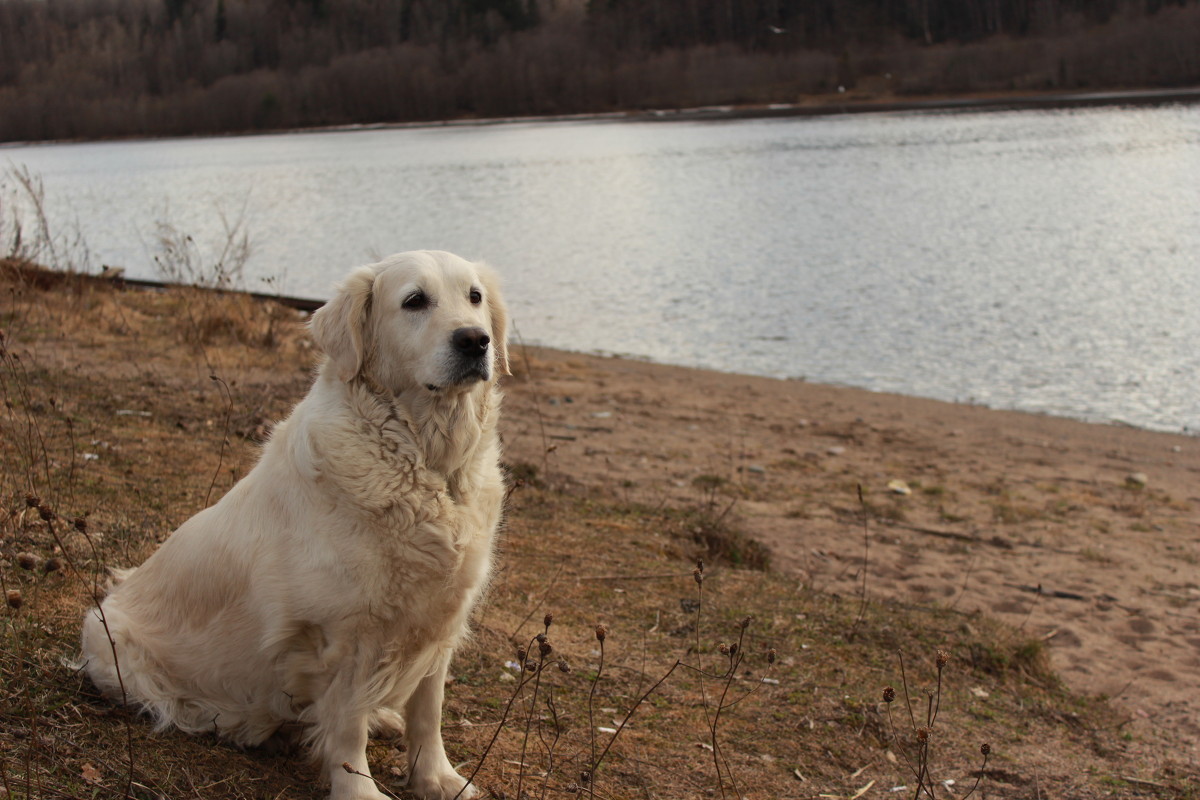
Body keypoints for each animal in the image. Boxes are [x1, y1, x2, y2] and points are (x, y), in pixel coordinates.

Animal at [78, 251, 511, 800]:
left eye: (474, 297)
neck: (430, 463)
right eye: (415, 300)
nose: (476, 340)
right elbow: (345, 726)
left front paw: (437, 778)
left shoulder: (441, 616)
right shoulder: (347, 632)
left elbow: (427, 711)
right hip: (110, 639)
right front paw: (358, 790)